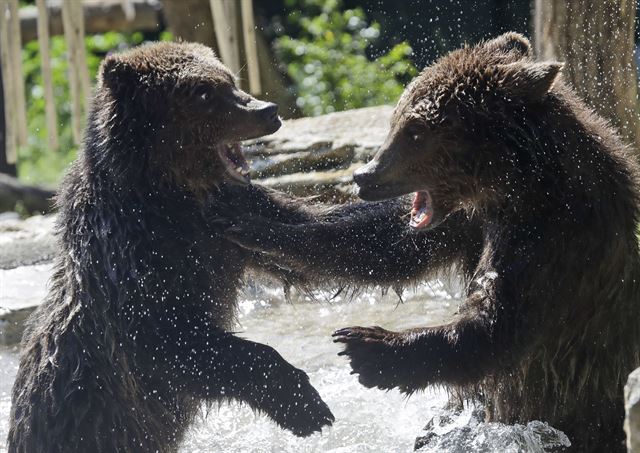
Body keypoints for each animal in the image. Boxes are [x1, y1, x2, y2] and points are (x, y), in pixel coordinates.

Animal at [7, 40, 338, 450]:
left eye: (229, 79)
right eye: (203, 92)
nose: (268, 110)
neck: (172, 197)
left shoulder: (229, 220)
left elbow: (300, 241)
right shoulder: (134, 266)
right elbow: (170, 342)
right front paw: (305, 404)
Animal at [225, 33, 640, 450]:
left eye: (415, 130)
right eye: (397, 118)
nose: (364, 175)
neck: (515, 182)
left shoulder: (554, 238)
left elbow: (498, 324)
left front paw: (367, 345)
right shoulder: (468, 219)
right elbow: (384, 246)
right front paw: (252, 221)